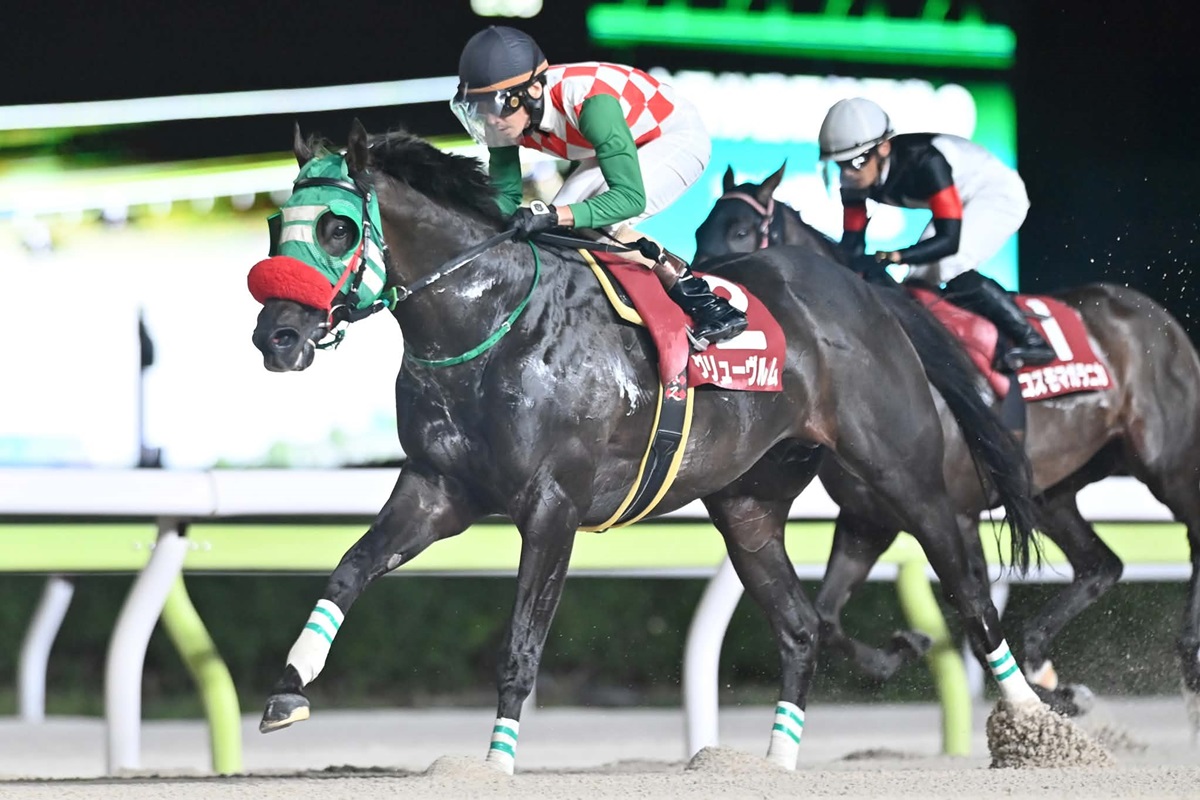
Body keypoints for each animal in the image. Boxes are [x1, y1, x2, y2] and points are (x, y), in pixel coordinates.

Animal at [248, 120, 1100, 772]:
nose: (277, 337)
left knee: (969, 593)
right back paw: (774, 764)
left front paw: (494, 766)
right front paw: (290, 684)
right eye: (274, 227)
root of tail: (861, 291)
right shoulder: (436, 487)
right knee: (800, 627)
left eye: (337, 228)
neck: (490, 323)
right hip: (747, 503)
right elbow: (350, 567)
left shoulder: (552, 506)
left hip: (905, 475)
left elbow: (521, 642)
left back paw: (1033, 718)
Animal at [696, 163, 1200, 721]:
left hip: (1166, 462)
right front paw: (906, 649)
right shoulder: (868, 519)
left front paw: (1040, 699)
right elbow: (826, 618)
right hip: (1051, 490)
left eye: (742, 231)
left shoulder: (954, 510)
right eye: (699, 230)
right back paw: (1044, 653)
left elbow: (977, 616)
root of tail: (1152, 313)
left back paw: (1185, 650)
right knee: (1101, 564)